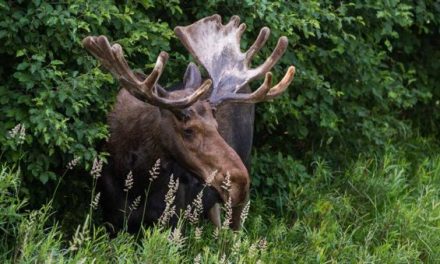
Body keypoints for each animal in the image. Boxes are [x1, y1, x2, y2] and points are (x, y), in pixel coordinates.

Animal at [82, 13, 296, 233]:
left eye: (216, 125)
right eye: (188, 130)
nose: (240, 183)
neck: (132, 173)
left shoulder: (172, 219)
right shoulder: (111, 221)